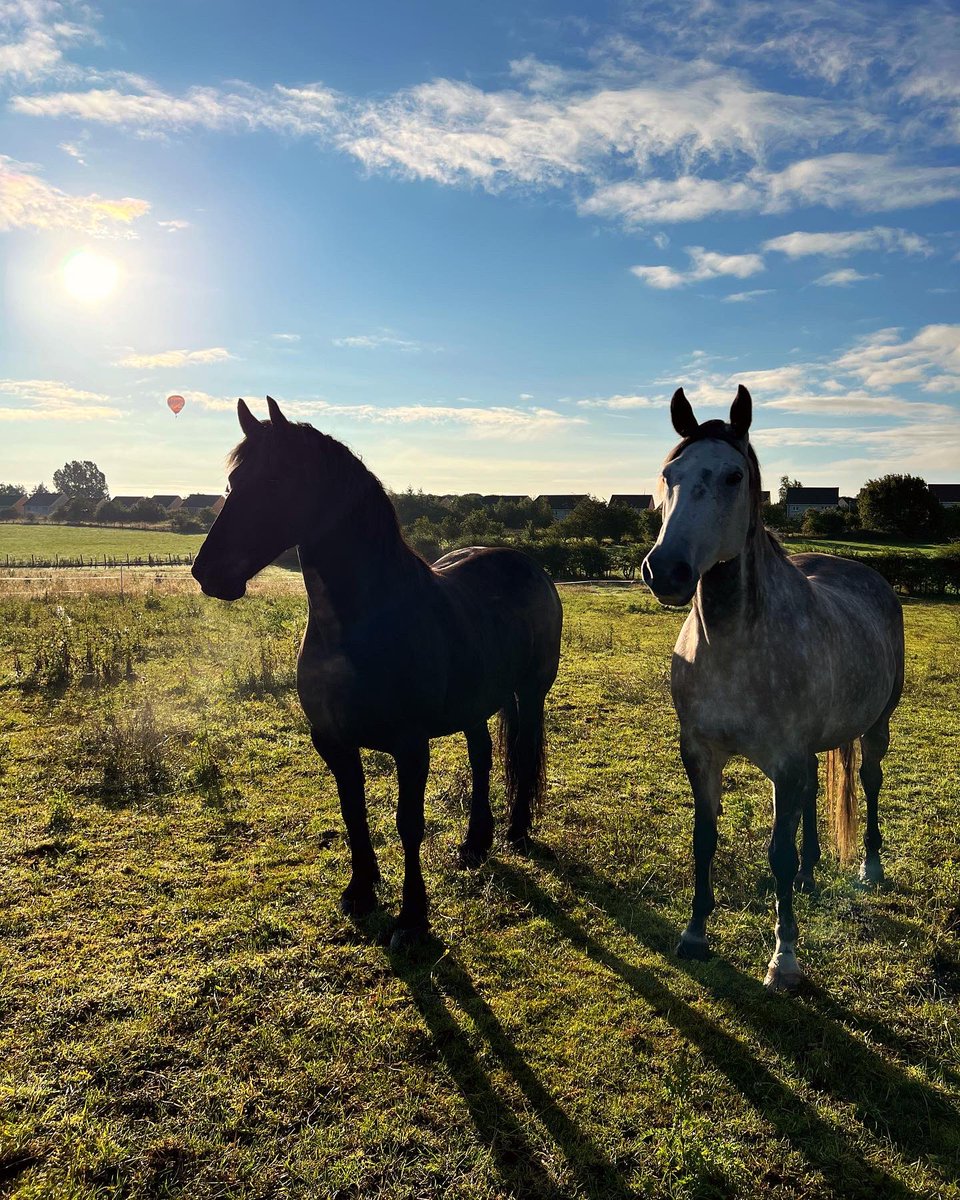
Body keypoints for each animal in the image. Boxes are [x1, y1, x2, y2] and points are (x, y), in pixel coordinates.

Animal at [192, 397, 562, 950]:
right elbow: (354, 813)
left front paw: (411, 920)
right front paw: (361, 891)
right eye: (235, 481)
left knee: (522, 748)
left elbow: (409, 823)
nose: (208, 572)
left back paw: (516, 832)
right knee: (481, 758)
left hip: (531, 691)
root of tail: (528, 565)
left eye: (276, 479)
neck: (358, 624)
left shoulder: (410, 746)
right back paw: (476, 843)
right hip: (476, 703)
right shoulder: (332, 742)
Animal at [641, 386, 904, 991]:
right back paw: (810, 874)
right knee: (810, 799)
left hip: (876, 726)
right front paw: (695, 935)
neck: (733, 643)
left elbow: (777, 853)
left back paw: (869, 867)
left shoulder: (783, 760)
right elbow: (704, 840)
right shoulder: (701, 754)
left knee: (871, 782)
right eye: (669, 474)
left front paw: (784, 960)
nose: (665, 571)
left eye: (734, 476)